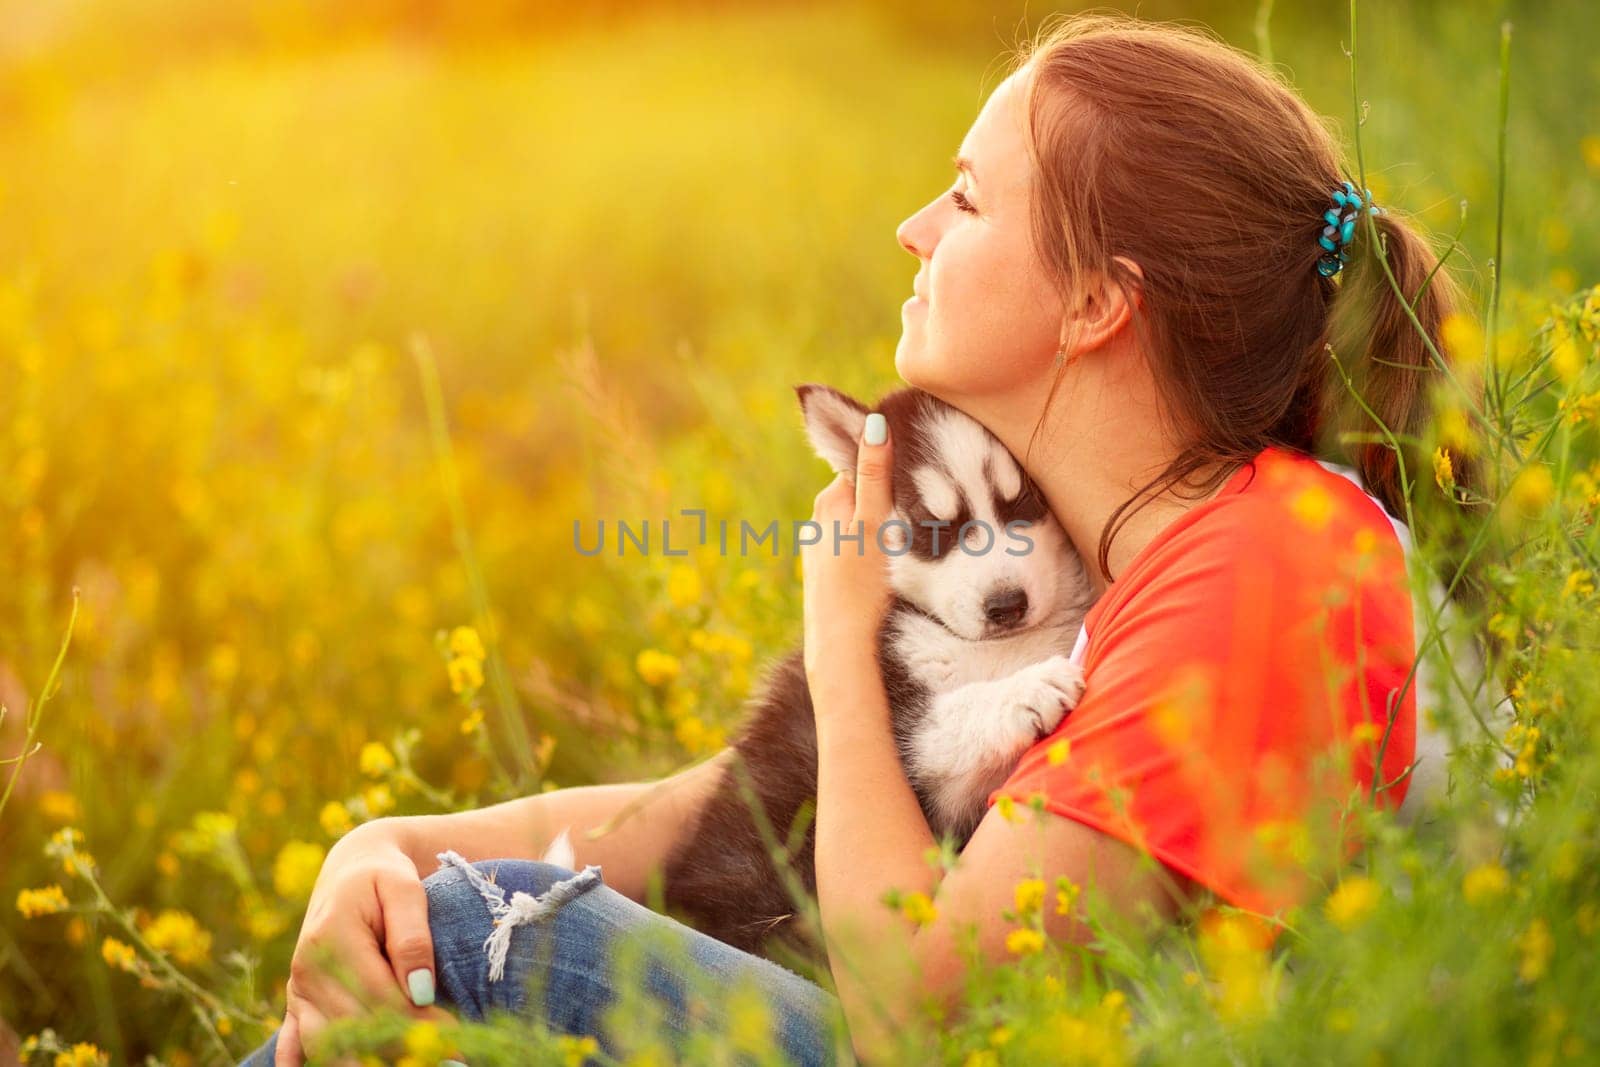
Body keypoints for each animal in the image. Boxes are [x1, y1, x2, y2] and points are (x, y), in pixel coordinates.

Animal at [643, 390, 1094, 966]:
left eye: (1025, 502)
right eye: (932, 526)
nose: (1006, 605)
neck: (991, 648)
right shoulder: (912, 733)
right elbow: (956, 711)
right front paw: (1026, 689)